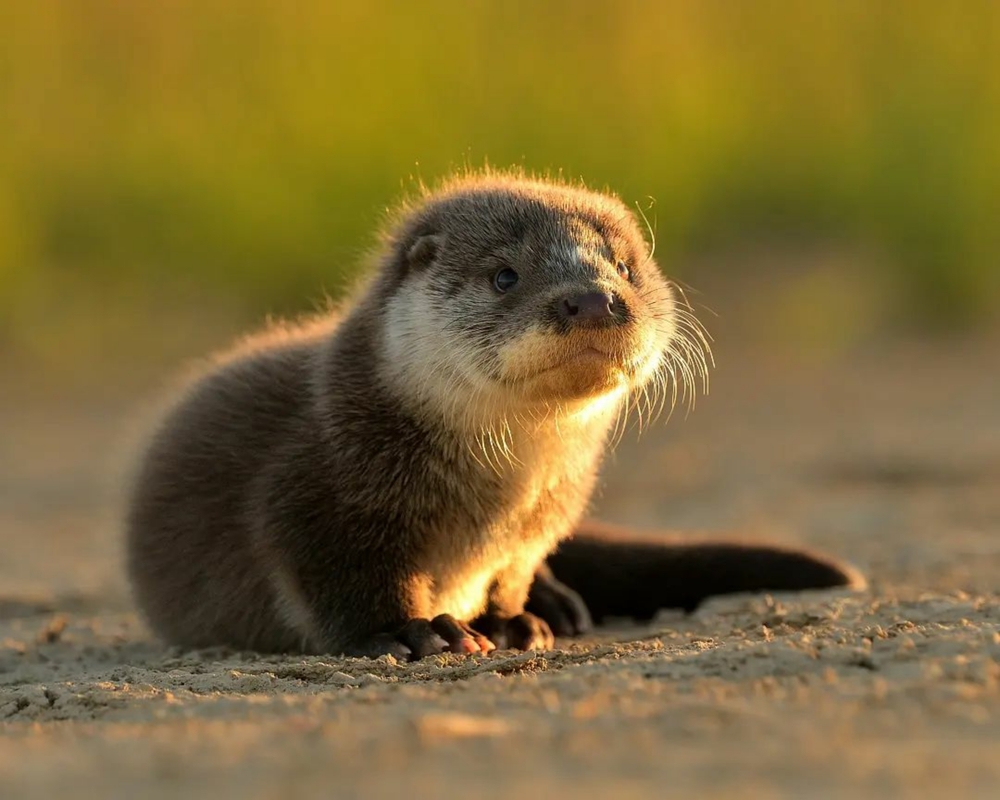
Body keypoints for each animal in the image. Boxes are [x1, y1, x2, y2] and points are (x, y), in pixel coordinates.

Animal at [126, 171, 863, 659]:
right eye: (505, 275)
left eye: (624, 267)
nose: (593, 299)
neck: (501, 497)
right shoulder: (315, 489)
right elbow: (341, 577)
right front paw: (409, 630)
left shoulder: (540, 522)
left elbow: (511, 573)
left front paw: (513, 620)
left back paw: (556, 602)